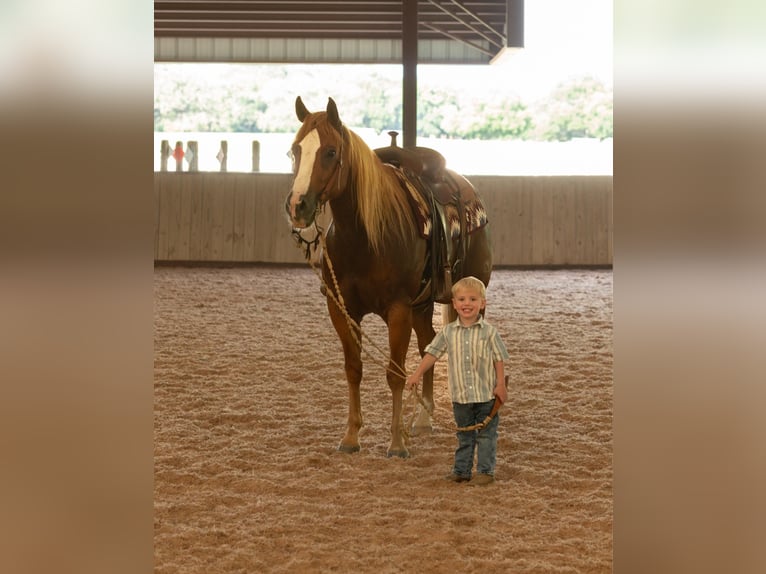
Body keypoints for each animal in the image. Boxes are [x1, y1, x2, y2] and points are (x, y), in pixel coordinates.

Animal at [286, 98, 492, 460]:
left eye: (330, 152)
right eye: (295, 150)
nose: (298, 206)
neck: (365, 237)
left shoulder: (398, 311)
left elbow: (395, 374)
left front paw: (396, 442)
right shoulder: (342, 310)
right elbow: (354, 368)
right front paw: (351, 436)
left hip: (469, 295)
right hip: (422, 306)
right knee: (428, 345)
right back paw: (423, 417)